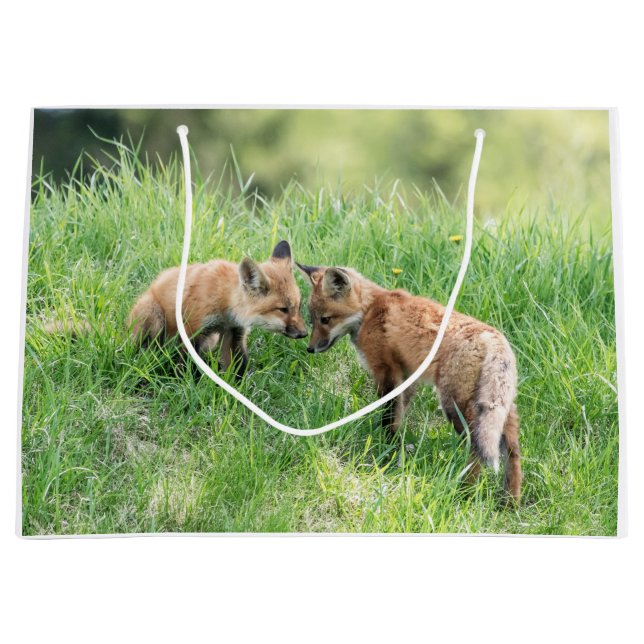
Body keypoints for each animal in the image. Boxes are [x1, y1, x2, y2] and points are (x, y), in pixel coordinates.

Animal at [127, 240, 307, 378]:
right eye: (283, 309)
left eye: (298, 307)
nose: (305, 333)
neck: (224, 301)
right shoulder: (193, 330)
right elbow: (186, 366)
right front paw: (186, 385)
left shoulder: (234, 332)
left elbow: (239, 367)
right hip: (153, 317)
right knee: (146, 348)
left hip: (211, 341)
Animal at [297, 262, 522, 502]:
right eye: (312, 319)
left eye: (325, 319)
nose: (310, 348)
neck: (369, 310)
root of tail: (493, 338)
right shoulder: (407, 376)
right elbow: (399, 417)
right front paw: (396, 449)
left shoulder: (386, 371)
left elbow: (388, 417)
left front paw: (385, 449)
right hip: (501, 410)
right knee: (513, 453)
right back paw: (510, 501)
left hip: (455, 406)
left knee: (476, 449)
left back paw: (465, 492)